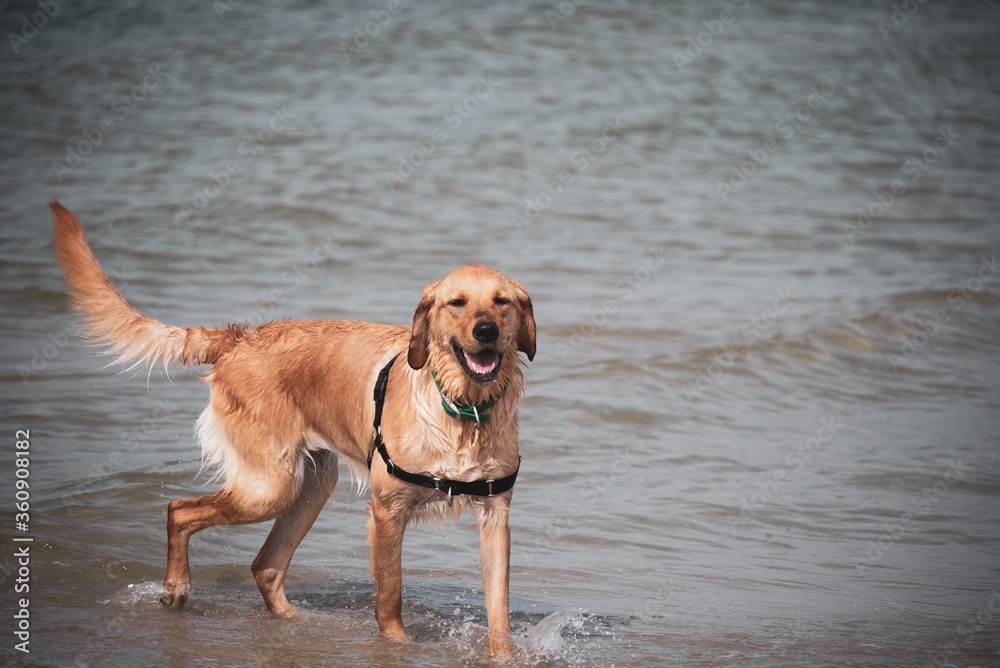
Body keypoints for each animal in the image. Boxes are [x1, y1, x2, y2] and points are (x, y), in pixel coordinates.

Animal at [50, 200, 536, 652]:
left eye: (502, 302)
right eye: (457, 303)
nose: (486, 330)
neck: (464, 411)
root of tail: (240, 338)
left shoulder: (496, 516)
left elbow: (498, 609)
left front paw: (502, 653)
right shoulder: (387, 511)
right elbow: (390, 598)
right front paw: (398, 647)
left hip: (311, 484)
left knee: (264, 566)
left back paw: (296, 623)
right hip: (269, 487)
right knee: (179, 511)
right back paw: (177, 588)